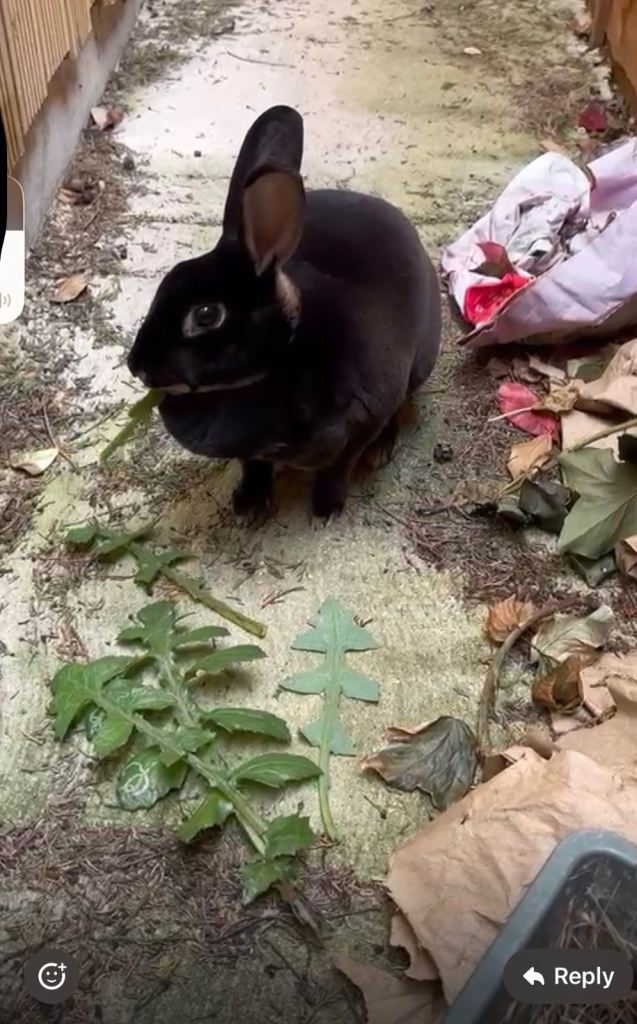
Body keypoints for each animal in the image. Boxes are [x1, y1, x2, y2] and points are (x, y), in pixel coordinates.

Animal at [127, 105, 442, 519]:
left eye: (207, 315)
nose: (136, 365)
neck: (282, 354)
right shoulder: (252, 452)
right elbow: (254, 465)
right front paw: (250, 504)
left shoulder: (367, 412)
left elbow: (341, 464)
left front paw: (327, 507)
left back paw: (381, 450)